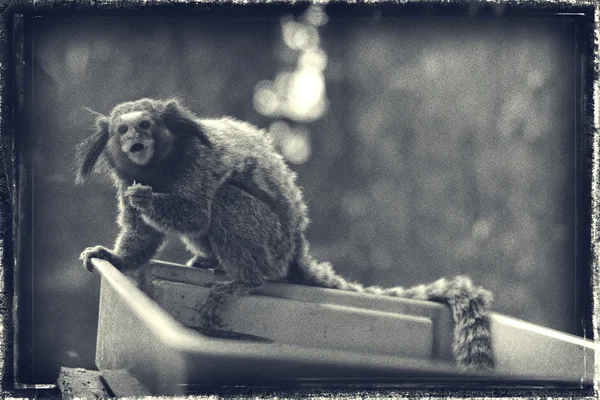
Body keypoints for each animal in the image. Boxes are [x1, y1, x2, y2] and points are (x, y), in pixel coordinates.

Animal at [77, 97, 494, 368]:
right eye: (122, 129)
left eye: (145, 125)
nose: (135, 139)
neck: (159, 166)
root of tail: (296, 248)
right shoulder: (127, 176)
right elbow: (141, 233)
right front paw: (116, 257)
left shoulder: (198, 161)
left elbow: (196, 213)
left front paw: (147, 199)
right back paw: (211, 261)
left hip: (271, 243)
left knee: (226, 199)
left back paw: (243, 279)